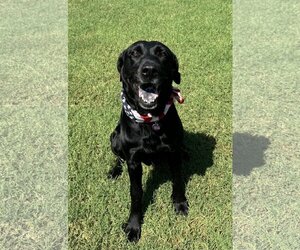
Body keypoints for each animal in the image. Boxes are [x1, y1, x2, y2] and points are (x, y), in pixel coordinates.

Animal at [109, 41, 188, 242]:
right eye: (134, 53)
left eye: (162, 54)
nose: (149, 70)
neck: (150, 120)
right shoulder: (133, 161)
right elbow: (136, 193)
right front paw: (133, 226)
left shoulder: (173, 152)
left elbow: (177, 179)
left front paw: (180, 203)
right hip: (114, 137)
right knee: (118, 157)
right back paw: (114, 171)